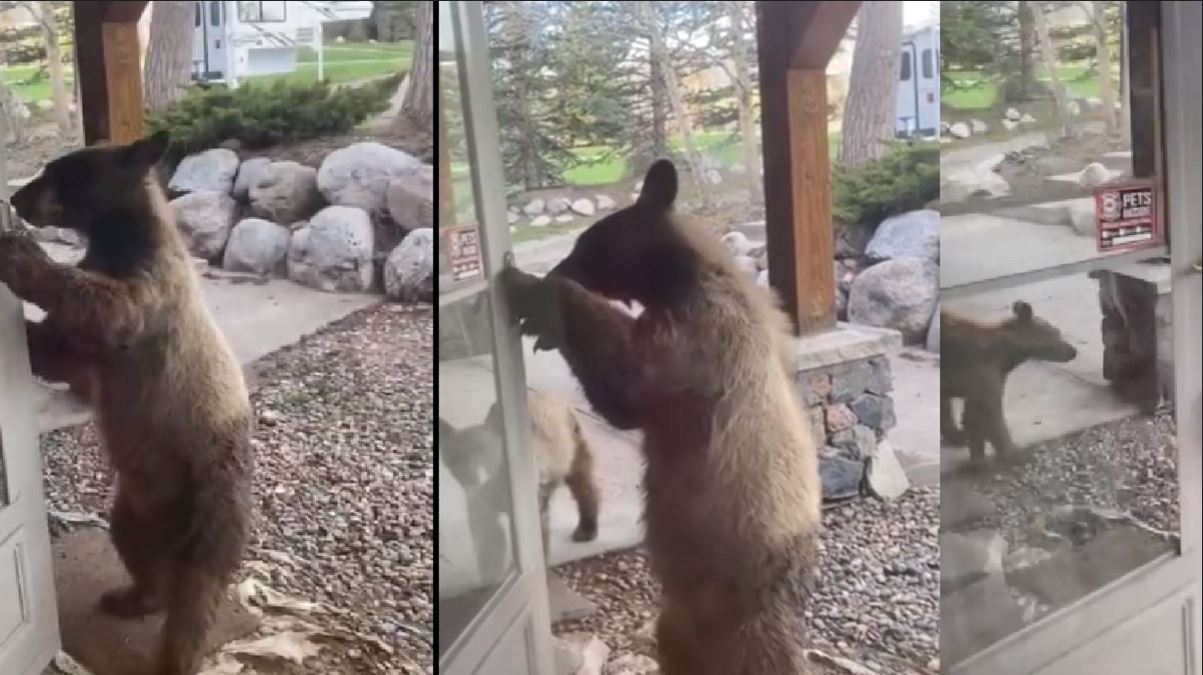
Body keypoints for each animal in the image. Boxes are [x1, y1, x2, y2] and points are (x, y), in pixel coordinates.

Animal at [0, 131, 253, 675]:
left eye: (60, 171)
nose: (16, 198)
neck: (121, 236)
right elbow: (59, 350)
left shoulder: (154, 289)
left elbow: (110, 308)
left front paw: (19, 254)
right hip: (135, 509)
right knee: (140, 555)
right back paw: (132, 597)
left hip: (210, 513)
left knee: (193, 604)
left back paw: (173, 654)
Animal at [501, 159, 820, 675]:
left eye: (585, 243)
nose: (558, 265)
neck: (687, 273)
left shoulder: (703, 341)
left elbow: (633, 380)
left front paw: (532, 292)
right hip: (679, 620)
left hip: (740, 601)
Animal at [940, 300, 1078, 467]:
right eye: (1053, 333)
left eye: (1058, 331)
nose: (1073, 351)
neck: (1005, 356)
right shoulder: (982, 373)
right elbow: (991, 416)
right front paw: (1015, 454)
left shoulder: (983, 381)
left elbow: (974, 416)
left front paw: (979, 459)